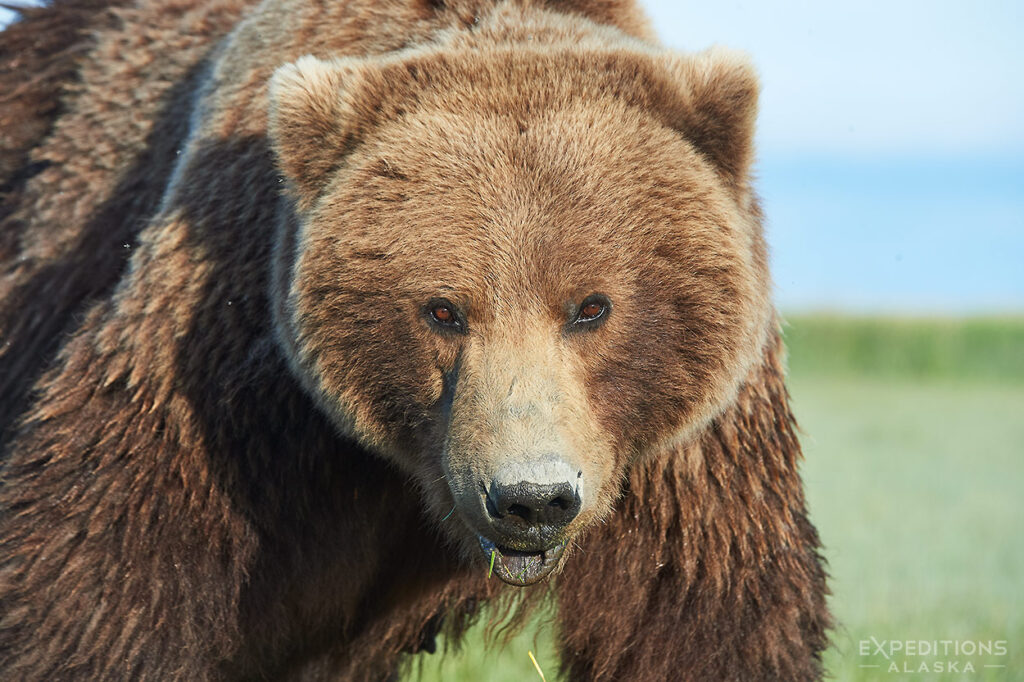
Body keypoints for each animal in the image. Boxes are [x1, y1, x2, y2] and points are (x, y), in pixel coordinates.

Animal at [0, 1, 831, 679]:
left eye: (591, 307)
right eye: (442, 310)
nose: (531, 499)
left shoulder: (689, 453)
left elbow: (697, 617)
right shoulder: (232, 366)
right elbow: (107, 572)